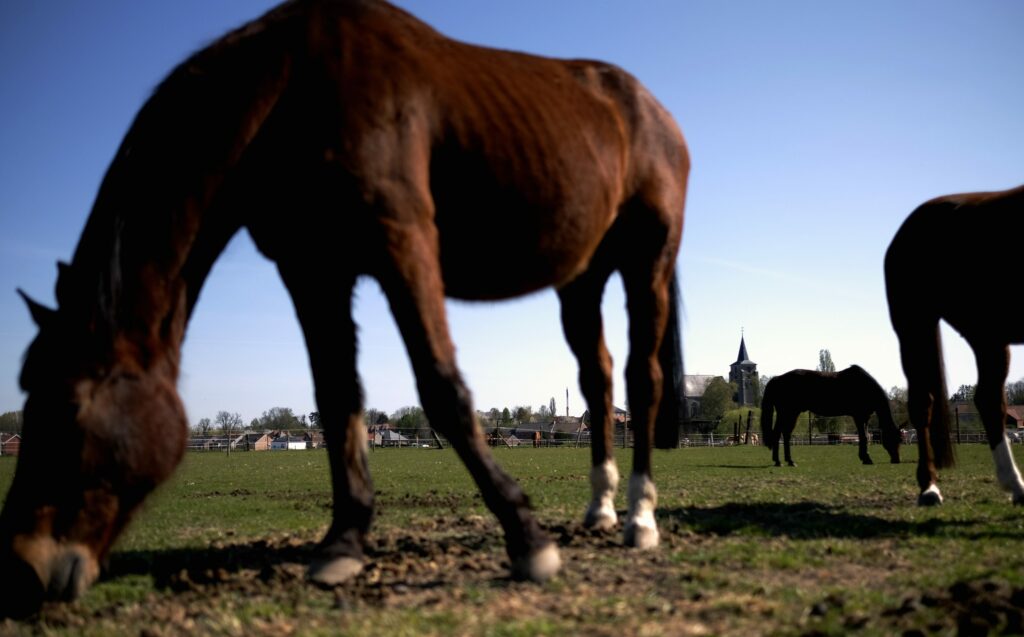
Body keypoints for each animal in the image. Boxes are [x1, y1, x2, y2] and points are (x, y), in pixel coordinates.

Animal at [0, 0, 689, 616]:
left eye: (67, 406)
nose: (22, 568)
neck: (292, 88)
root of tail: (652, 109)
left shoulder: (403, 242)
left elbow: (442, 389)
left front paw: (527, 540)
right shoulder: (314, 270)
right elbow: (337, 398)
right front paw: (343, 543)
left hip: (647, 261)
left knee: (642, 380)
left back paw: (640, 519)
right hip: (581, 279)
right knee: (598, 381)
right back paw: (600, 511)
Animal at [760, 366, 901, 467]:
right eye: (892, 438)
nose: (896, 460)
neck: (864, 386)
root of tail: (777, 378)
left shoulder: (864, 417)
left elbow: (864, 436)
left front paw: (864, 457)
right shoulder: (859, 416)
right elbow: (864, 437)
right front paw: (866, 459)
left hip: (789, 414)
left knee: (784, 433)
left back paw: (787, 461)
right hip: (788, 413)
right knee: (779, 433)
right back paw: (780, 462)